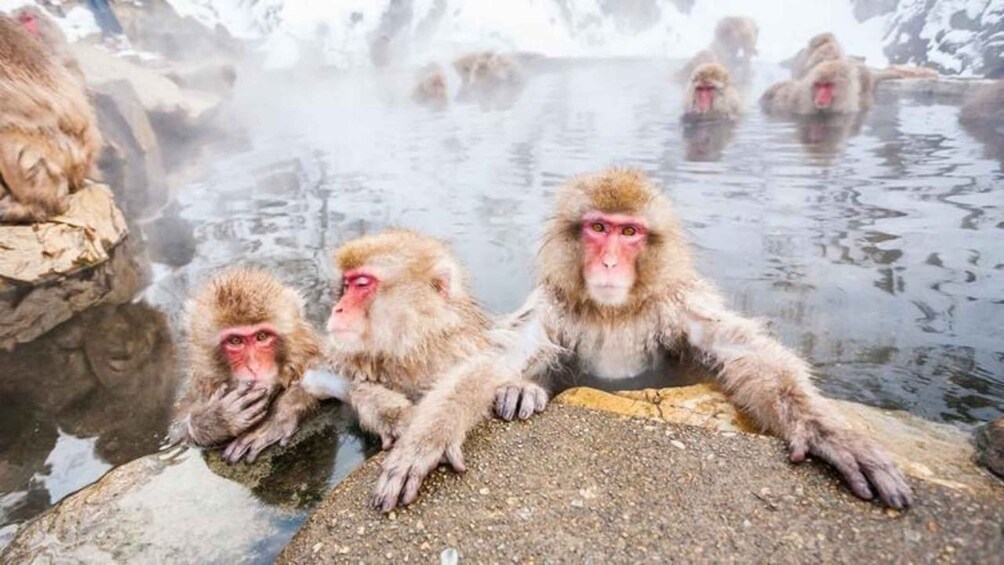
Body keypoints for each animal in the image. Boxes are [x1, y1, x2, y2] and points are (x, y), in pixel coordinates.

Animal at [168, 268, 323, 464]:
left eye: (262, 336)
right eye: (235, 340)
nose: (253, 366)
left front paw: (278, 416)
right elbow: (175, 436)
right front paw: (217, 419)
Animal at [324, 230, 547, 512]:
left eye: (362, 284)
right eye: (346, 285)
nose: (338, 308)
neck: (413, 346)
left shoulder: (460, 344)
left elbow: (482, 367)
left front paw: (424, 441)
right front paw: (399, 417)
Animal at [497, 167, 913, 509]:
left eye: (629, 232)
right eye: (598, 228)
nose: (610, 263)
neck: (615, 312)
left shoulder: (678, 306)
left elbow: (742, 351)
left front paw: (827, 434)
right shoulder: (551, 306)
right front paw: (519, 387)